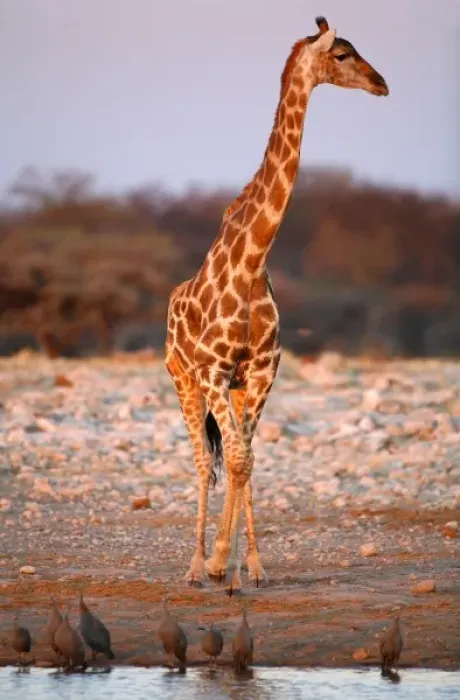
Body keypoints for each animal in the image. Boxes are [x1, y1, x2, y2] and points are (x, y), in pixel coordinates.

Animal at [165, 16, 388, 591]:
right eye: (342, 53)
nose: (381, 83)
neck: (251, 264)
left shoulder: (262, 373)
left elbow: (246, 461)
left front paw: (247, 566)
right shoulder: (213, 372)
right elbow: (229, 460)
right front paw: (216, 563)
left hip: (236, 389)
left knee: (233, 456)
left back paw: (233, 565)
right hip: (183, 379)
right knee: (201, 460)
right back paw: (194, 566)